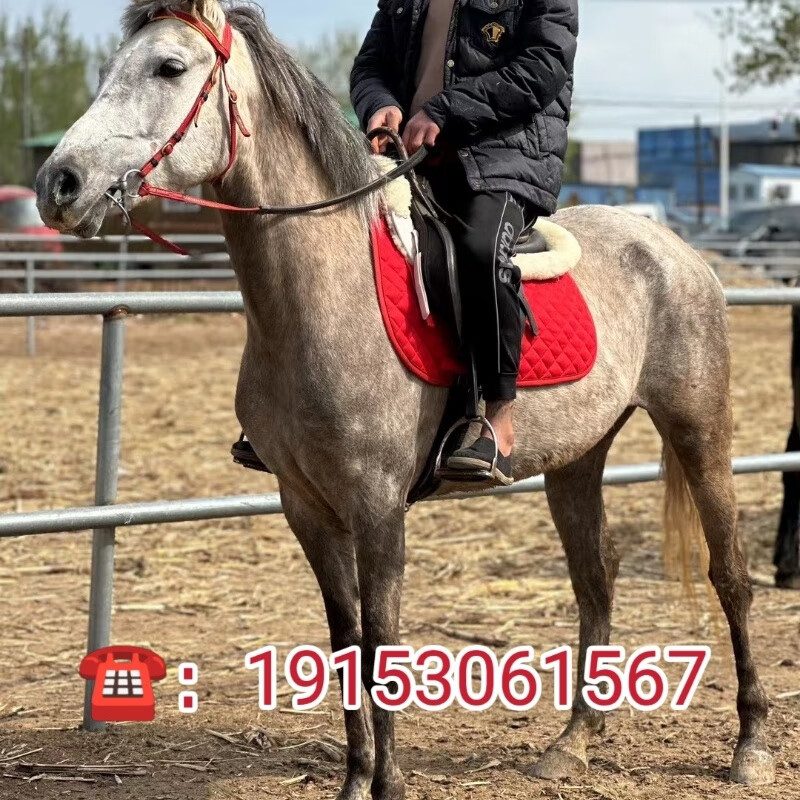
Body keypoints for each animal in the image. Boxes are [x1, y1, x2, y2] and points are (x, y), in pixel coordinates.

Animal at [34, 0, 774, 794]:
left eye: (169, 67)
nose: (59, 183)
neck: (324, 298)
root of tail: (675, 249)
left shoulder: (378, 506)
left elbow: (382, 642)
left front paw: (386, 781)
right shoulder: (306, 508)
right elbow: (344, 639)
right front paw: (357, 777)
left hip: (701, 431)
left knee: (729, 573)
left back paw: (750, 745)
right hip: (578, 459)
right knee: (594, 582)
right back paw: (572, 743)